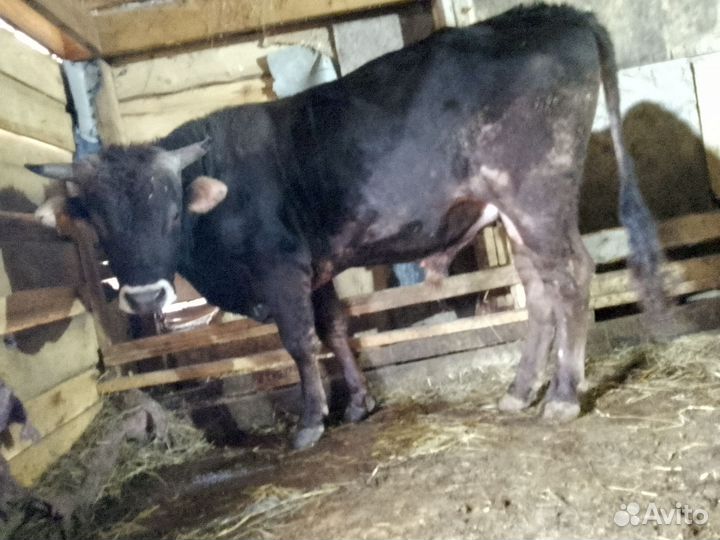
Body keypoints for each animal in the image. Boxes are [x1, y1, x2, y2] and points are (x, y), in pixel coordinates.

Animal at [28, 4, 666, 449]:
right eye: (99, 222)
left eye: (170, 210)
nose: (141, 297)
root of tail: (553, 13)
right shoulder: (316, 268)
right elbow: (335, 329)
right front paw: (358, 405)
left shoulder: (280, 266)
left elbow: (299, 342)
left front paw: (311, 423)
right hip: (511, 211)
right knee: (539, 289)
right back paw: (518, 392)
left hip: (537, 191)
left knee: (572, 275)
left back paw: (563, 395)